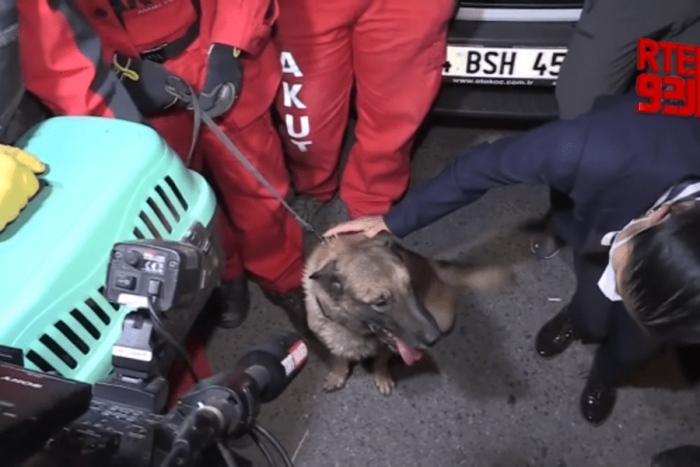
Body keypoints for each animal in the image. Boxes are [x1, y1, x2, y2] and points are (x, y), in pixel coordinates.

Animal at [304, 232, 512, 396]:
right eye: (380, 303)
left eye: (410, 286)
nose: (434, 339)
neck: (354, 328)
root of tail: (432, 266)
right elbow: (338, 357)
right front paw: (338, 374)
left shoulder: (391, 346)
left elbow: (381, 360)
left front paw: (382, 376)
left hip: (443, 319)